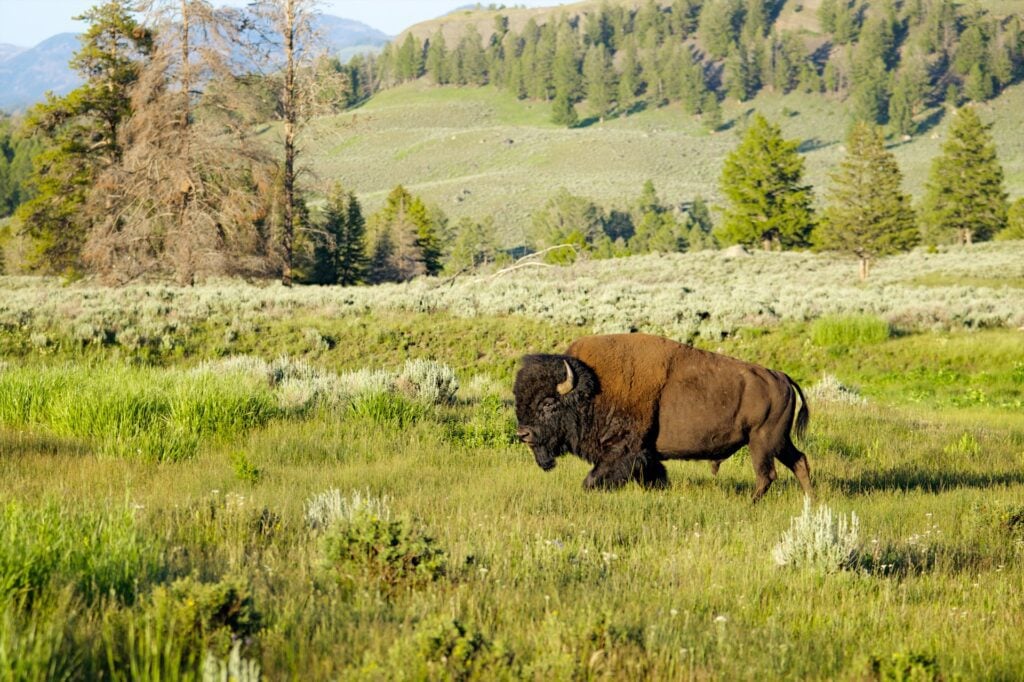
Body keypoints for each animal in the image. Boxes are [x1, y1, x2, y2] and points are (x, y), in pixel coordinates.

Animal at [516, 333, 811, 499]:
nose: (523, 434)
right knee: (799, 462)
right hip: (779, 441)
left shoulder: (621, 451)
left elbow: (593, 479)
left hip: (761, 442)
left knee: (767, 474)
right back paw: (810, 499)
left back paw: (751, 503)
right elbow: (654, 476)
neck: (593, 388)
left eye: (549, 403)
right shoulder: (646, 456)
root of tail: (782, 377)